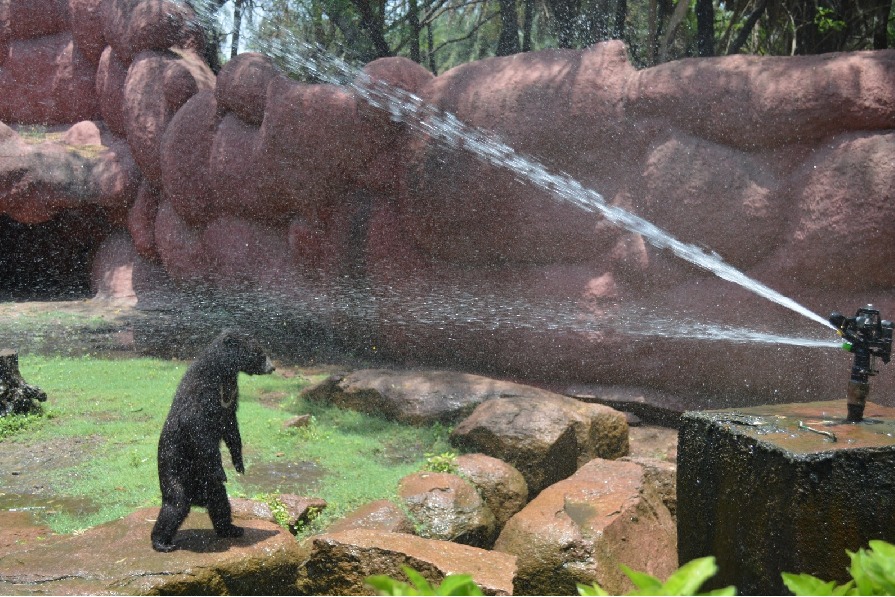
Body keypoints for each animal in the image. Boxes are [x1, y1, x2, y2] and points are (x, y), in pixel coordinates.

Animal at [152, 328, 274, 552]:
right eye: (260, 353)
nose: (273, 367)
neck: (223, 375)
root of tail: (196, 496)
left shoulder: (229, 398)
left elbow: (231, 427)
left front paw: (239, 464)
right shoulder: (201, 395)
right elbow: (200, 432)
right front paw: (223, 469)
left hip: (207, 482)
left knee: (220, 501)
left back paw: (233, 529)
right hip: (174, 470)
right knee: (175, 504)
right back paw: (162, 542)